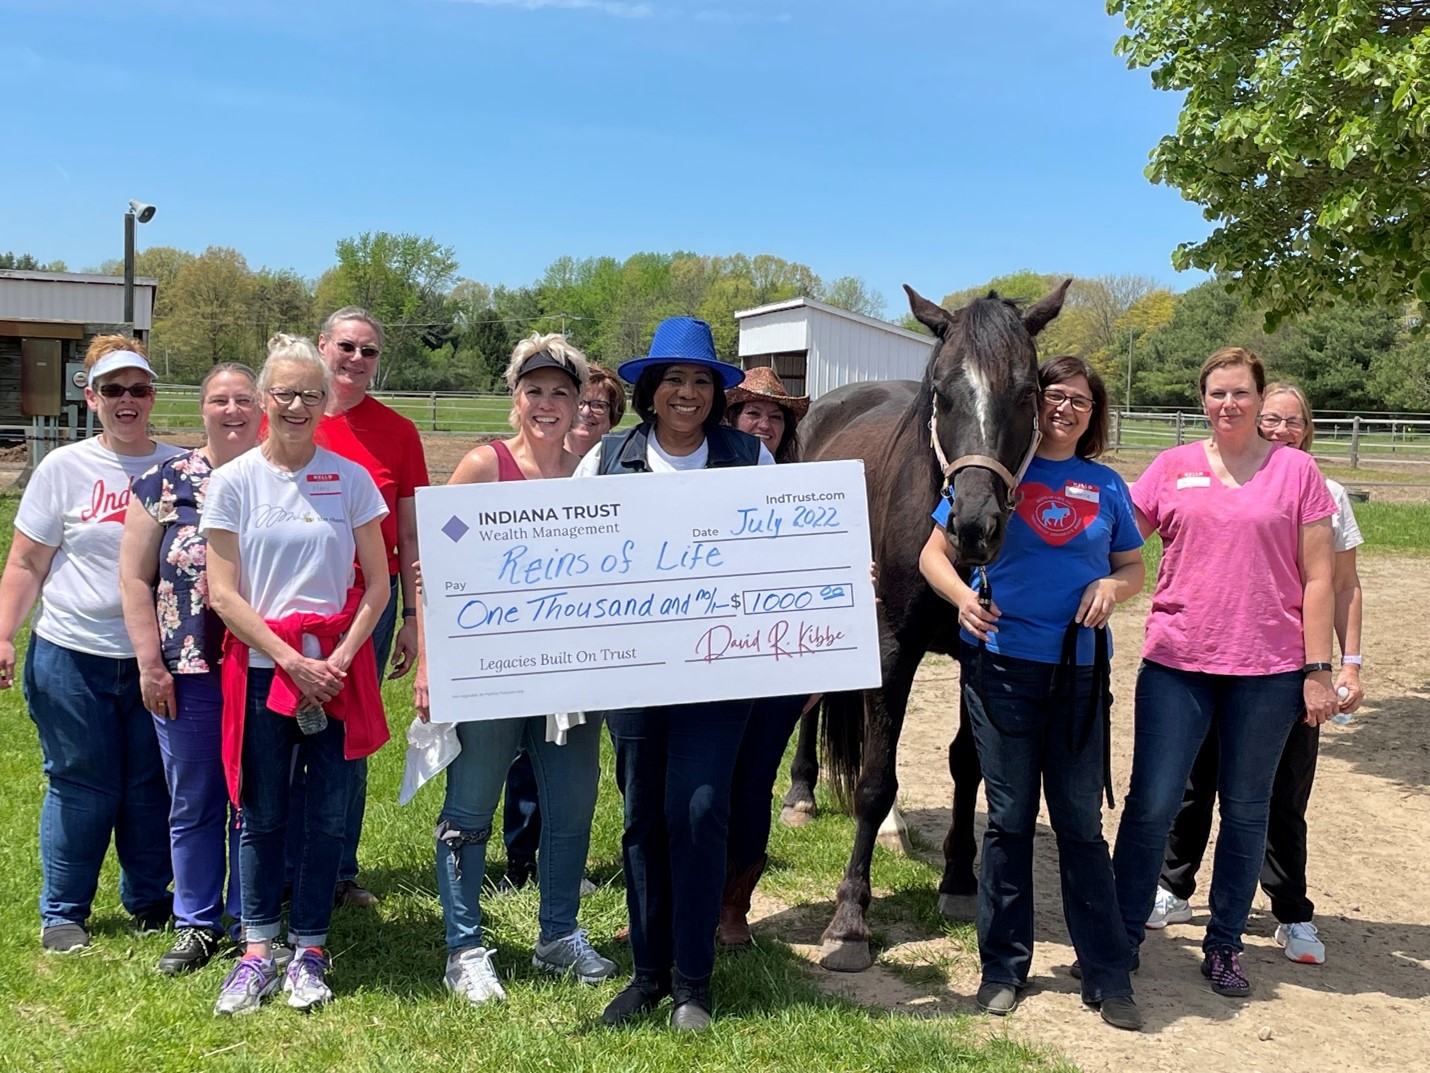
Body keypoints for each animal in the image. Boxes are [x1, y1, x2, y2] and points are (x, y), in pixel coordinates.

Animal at [800, 278, 1069, 972]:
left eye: (1027, 392)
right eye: (943, 393)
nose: (973, 526)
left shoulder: (983, 654)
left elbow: (967, 764)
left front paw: (959, 880)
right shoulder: (893, 644)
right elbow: (873, 780)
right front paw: (849, 921)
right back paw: (801, 795)